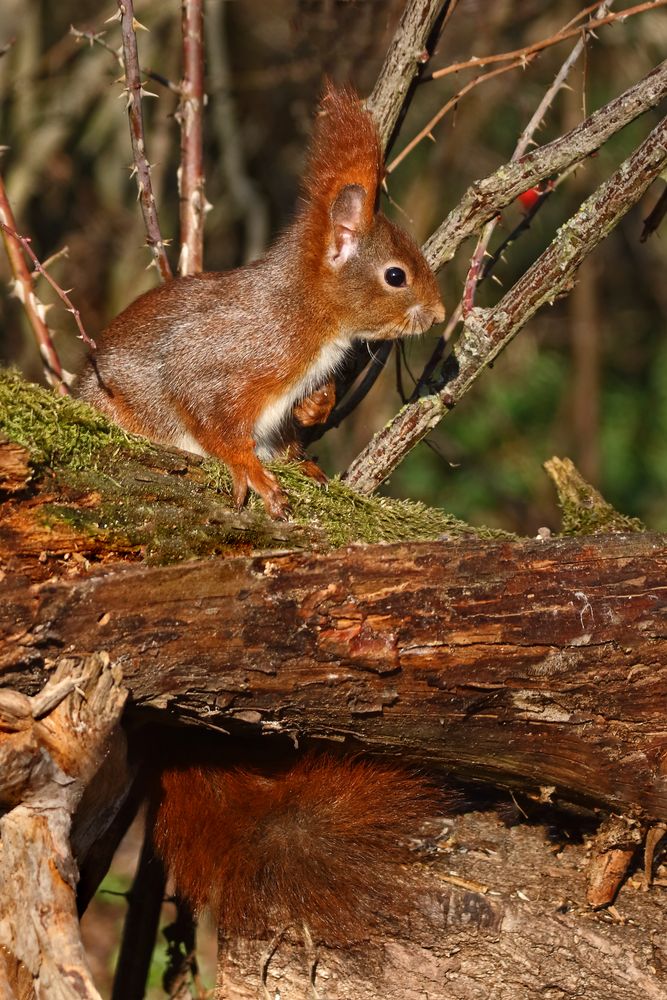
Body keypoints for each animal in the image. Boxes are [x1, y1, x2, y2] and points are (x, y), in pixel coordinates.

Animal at [75, 86, 446, 520]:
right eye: (395, 276)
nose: (439, 314)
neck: (306, 311)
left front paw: (317, 405)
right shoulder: (229, 355)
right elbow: (207, 413)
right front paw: (249, 468)